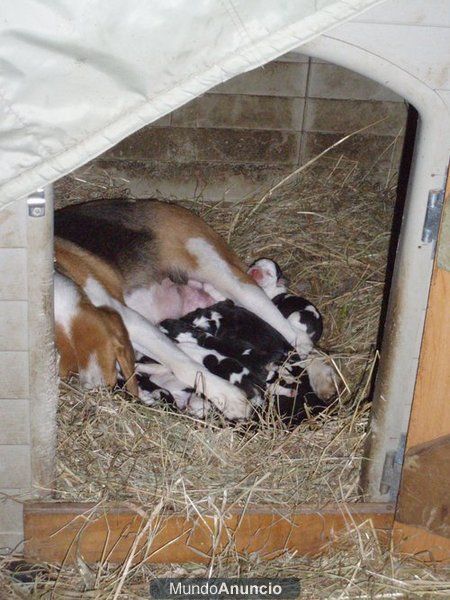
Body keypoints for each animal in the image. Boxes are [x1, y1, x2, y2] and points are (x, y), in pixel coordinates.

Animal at [53, 199, 334, 420]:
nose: (101, 390)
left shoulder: (127, 318)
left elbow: (183, 363)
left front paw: (230, 398)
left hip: (230, 278)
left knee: (298, 339)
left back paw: (321, 374)